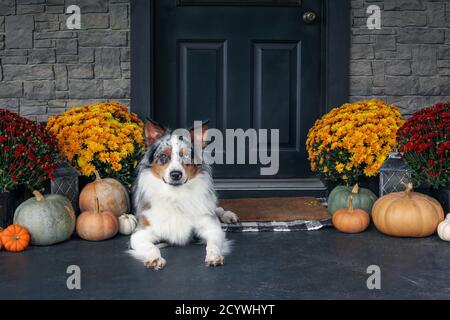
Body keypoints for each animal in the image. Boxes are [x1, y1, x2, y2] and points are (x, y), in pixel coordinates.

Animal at [128, 119, 237, 268]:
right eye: (164, 156)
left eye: (185, 156)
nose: (175, 175)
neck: (176, 195)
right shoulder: (140, 234)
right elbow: (151, 246)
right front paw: (154, 258)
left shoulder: (212, 228)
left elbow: (213, 244)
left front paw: (214, 256)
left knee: (217, 209)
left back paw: (228, 215)